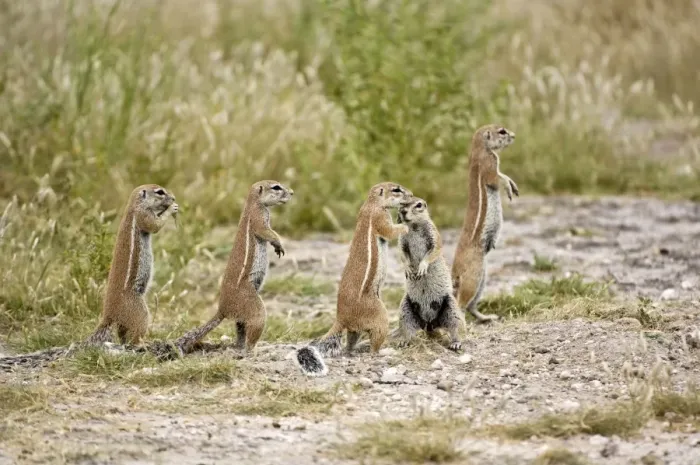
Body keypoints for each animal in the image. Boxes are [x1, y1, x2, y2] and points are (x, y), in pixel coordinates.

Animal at [175, 180, 293, 355]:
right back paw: (253, 349)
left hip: (241, 317)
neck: (253, 203)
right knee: (253, 330)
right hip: (254, 306)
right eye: (276, 187)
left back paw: (239, 346)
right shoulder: (259, 218)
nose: (292, 193)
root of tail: (222, 310)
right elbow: (268, 232)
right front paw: (279, 244)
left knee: (240, 330)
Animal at [295, 182, 414, 376]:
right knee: (374, 344)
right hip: (379, 316)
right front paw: (405, 226)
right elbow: (389, 231)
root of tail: (341, 318)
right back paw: (382, 351)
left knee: (349, 343)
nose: (411, 195)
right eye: (396, 189)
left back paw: (355, 348)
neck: (372, 204)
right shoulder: (380, 218)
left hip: (354, 329)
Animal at [395, 198, 466, 350]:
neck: (414, 226)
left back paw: (456, 343)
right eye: (402, 203)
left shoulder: (433, 235)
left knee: (455, 328)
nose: (403, 211)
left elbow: (433, 250)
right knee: (407, 330)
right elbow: (402, 253)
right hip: (405, 311)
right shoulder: (402, 240)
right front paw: (408, 269)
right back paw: (403, 341)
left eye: (419, 205)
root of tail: (429, 324)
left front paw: (422, 267)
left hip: (451, 308)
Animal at [451, 124, 518, 323]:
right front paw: (509, 187)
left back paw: (488, 317)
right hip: (474, 276)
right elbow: (497, 178)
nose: (514, 135)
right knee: (461, 303)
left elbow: (503, 175)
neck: (479, 149)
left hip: (482, 279)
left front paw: (513, 185)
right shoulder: (488, 165)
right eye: (502, 131)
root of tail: (454, 273)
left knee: (471, 306)